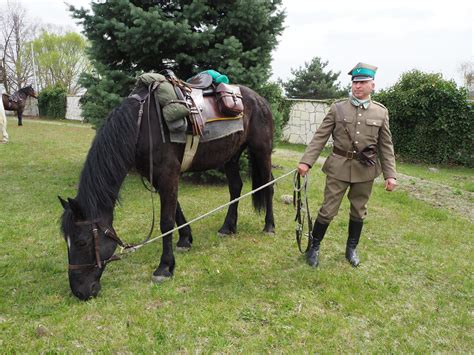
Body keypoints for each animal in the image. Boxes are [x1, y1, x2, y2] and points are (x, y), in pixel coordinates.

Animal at [58, 82, 274, 300]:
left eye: (82, 242)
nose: (80, 291)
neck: (140, 124)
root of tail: (259, 99)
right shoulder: (157, 178)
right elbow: (176, 210)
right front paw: (185, 240)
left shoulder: (168, 174)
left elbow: (166, 222)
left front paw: (164, 267)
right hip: (231, 155)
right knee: (235, 187)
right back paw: (228, 227)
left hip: (261, 150)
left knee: (269, 185)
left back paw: (269, 226)